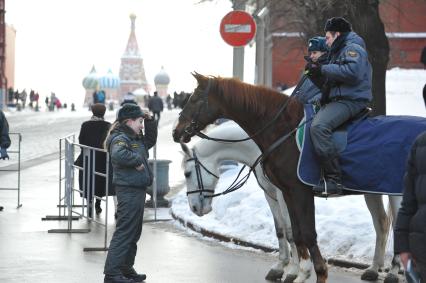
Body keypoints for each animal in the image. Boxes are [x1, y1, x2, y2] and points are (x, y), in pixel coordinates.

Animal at [179, 122, 402, 283]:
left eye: (187, 173)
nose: (195, 208)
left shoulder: (284, 194)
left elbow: (291, 232)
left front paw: (294, 271)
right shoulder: (271, 195)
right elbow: (281, 230)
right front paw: (280, 267)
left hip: (396, 194)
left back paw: (394, 272)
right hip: (372, 192)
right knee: (382, 224)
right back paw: (374, 269)